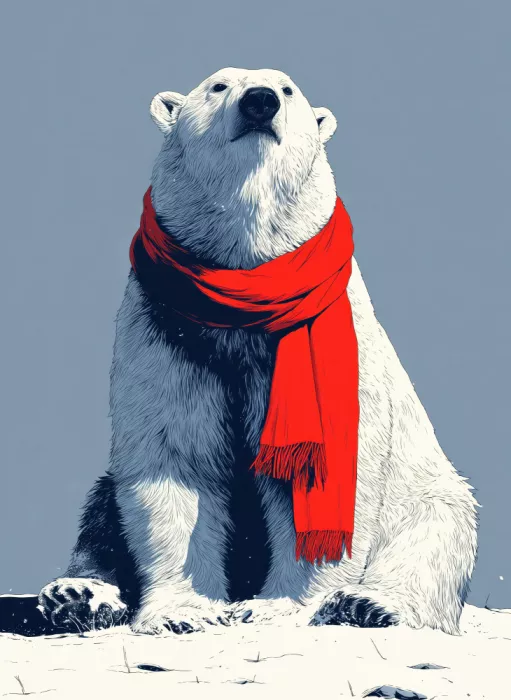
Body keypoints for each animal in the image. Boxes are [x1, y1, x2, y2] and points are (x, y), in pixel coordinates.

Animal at [38, 67, 478, 636]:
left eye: (288, 89)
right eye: (218, 86)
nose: (260, 102)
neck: (245, 287)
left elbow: (315, 473)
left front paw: (274, 607)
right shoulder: (167, 334)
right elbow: (176, 460)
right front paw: (182, 613)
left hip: (428, 488)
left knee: (436, 531)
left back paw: (370, 605)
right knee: (99, 512)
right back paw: (77, 594)